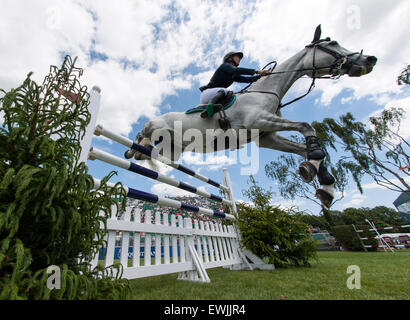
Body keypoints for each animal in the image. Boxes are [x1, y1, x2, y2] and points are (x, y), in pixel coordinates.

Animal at [125, 26, 378, 209]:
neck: (269, 90)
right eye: (332, 43)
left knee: (152, 149)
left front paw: (323, 185)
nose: (370, 60)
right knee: (141, 132)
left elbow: (307, 148)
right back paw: (132, 149)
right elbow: (307, 127)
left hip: (172, 150)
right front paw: (315, 168)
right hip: (155, 126)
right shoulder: (258, 121)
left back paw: (140, 152)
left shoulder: (267, 137)